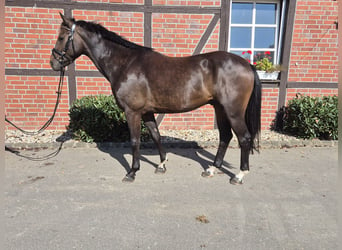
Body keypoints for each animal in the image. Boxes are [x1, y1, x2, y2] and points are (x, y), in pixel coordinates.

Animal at [49, 14, 260, 186]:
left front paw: (132, 172)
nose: (53, 63)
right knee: (225, 137)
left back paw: (239, 175)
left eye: (61, 37)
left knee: (244, 138)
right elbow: (156, 136)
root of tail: (248, 65)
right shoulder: (147, 112)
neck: (125, 64)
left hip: (232, 111)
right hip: (220, 109)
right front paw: (161, 165)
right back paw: (211, 169)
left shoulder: (132, 112)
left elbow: (135, 141)